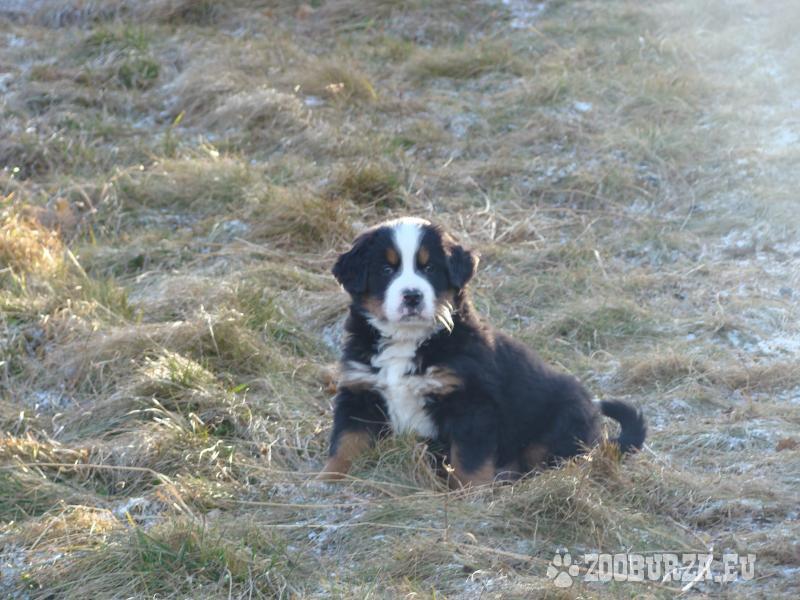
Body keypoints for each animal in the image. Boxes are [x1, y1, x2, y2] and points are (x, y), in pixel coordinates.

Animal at [319, 217, 646, 486]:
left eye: (429, 268)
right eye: (387, 269)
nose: (412, 296)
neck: (407, 339)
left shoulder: (471, 403)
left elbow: (469, 460)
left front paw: (471, 496)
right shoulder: (360, 391)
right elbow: (346, 442)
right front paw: (328, 480)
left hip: (563, 420)